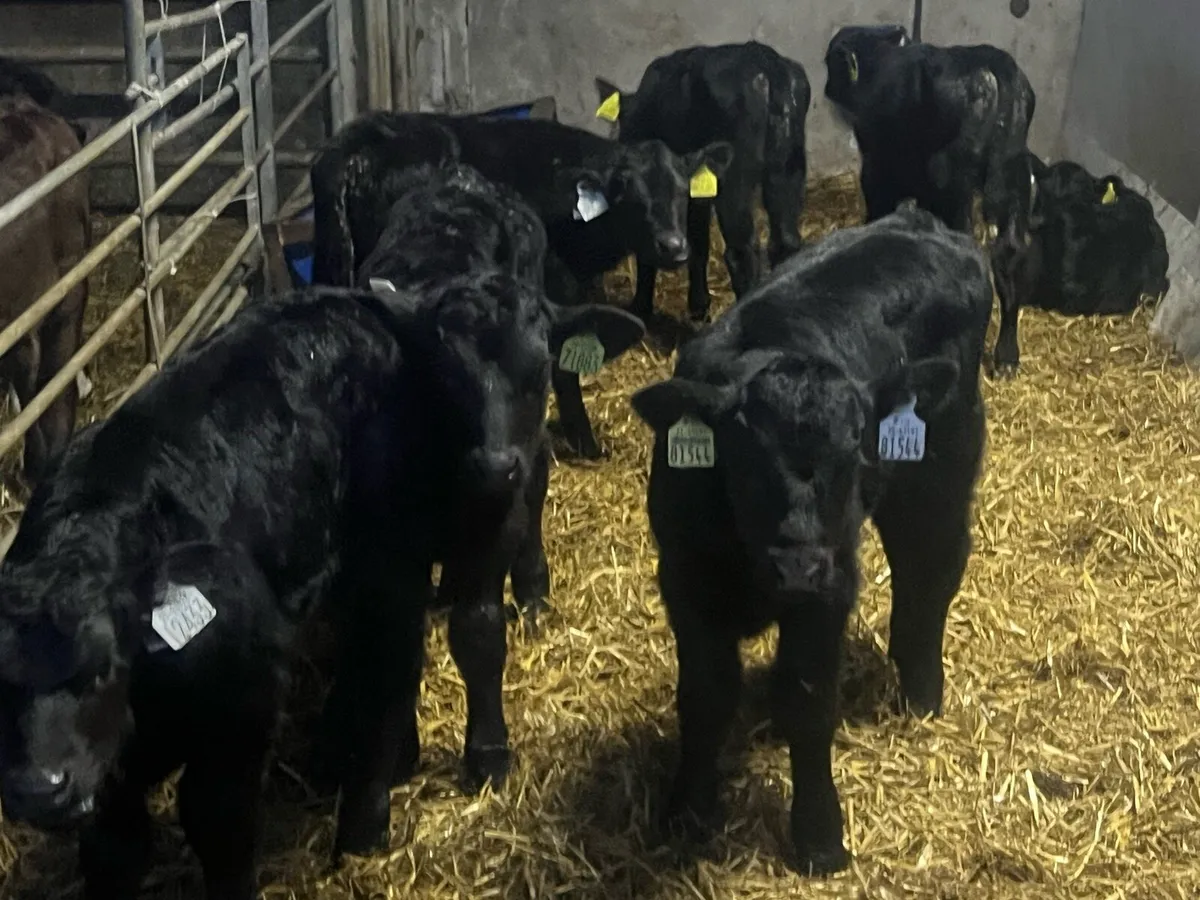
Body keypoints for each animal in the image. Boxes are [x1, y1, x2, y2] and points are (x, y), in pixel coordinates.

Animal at [309, 110, 732, 459]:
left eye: (682, 189)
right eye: (628, 195)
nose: (673, 246)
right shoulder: (556, 283)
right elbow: (564, 362)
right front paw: (584, 441)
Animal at [594, 41, 812, 322]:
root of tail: (767, 62)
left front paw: (641, 307)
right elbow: (699, 241)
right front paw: (699, 305)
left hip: (734, 176)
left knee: (742, 250)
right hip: (788, 166)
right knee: (786, 239)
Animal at [630, 203, 991, 874]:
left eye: (853, 452)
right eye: (744, 460)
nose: (796, 567)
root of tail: (917, 219)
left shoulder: (830, 585)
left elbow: (808, 701)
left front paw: (819, 836)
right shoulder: (684, 577)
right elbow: (704, 697)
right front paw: (688, 811)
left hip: (943, 458)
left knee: (932, 561)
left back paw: (921, 688)